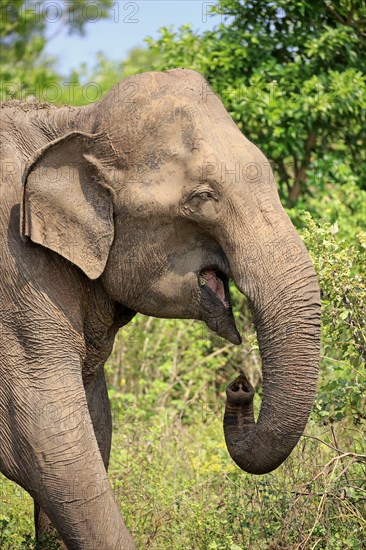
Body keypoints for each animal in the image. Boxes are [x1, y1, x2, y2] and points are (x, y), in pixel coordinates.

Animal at [0, 70, 320, 550]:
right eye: (203, 196)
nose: (240, 386)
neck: (74, 121)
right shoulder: (16, 281)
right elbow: (50, 442)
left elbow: (95, 425)